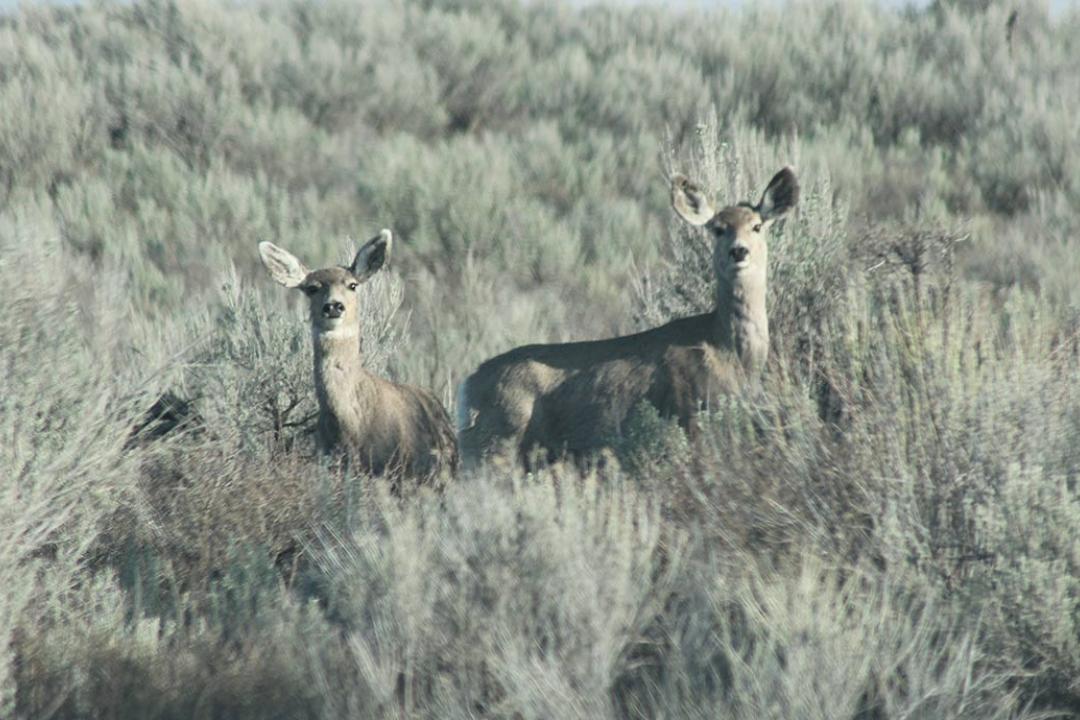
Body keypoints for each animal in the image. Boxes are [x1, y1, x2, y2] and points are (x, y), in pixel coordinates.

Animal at [456, 167, 799, 468]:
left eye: (756, 226)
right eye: (718, 229)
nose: (739, 251)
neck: (727, 349)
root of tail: (468, 385)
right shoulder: (690, 415)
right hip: (498, 439)